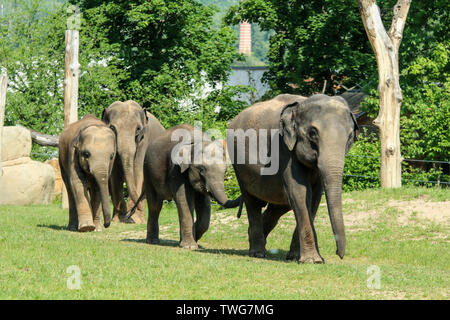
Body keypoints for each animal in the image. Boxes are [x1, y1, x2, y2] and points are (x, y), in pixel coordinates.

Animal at [227, 94, 360, 264]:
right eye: (313, 133)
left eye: (350, 137)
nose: (339, 254)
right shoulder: (284, 149)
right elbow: (300, 193)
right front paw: (312, 260)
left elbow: (314, 197)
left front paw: (298, 257)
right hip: (239, 167)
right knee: (252, 202)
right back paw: (257, 253)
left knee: (277, 208)